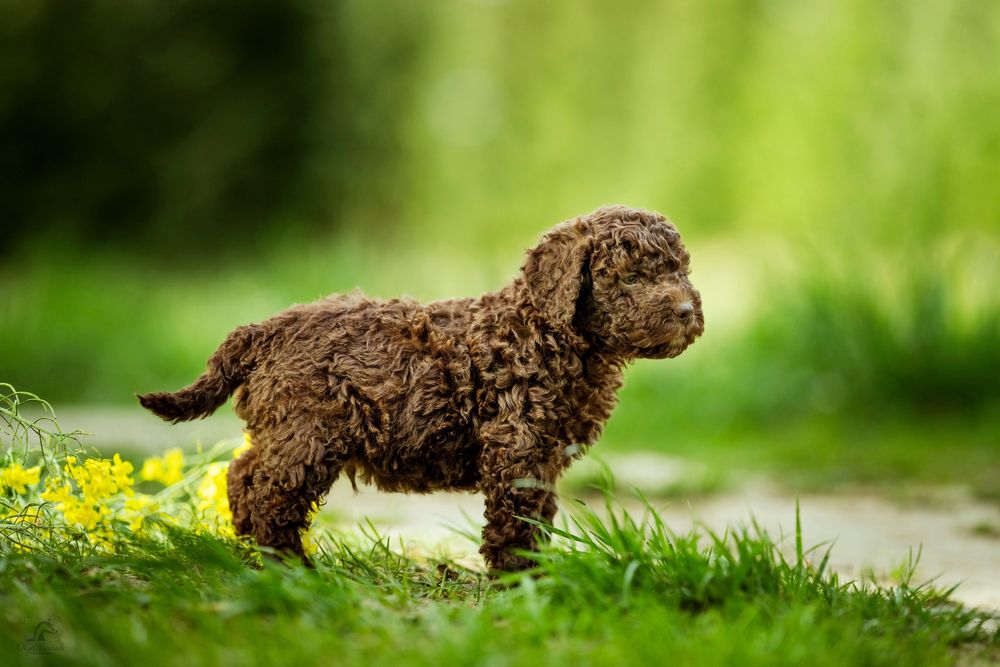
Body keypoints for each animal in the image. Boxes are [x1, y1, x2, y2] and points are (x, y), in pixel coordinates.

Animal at [139, 206, 704, 572]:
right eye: (630, 278)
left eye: (679, 270)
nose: (685, 311)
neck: (550, 333)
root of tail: (264, 329)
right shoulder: (517, 446)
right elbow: (516, 518)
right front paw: (518, 582)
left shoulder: (544, 455)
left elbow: (538, 516)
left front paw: (539, 576)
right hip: (308, 431)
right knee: (270, 496)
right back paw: (292, 569)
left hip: (285, 428)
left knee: (241, 474)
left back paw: (250, 551)